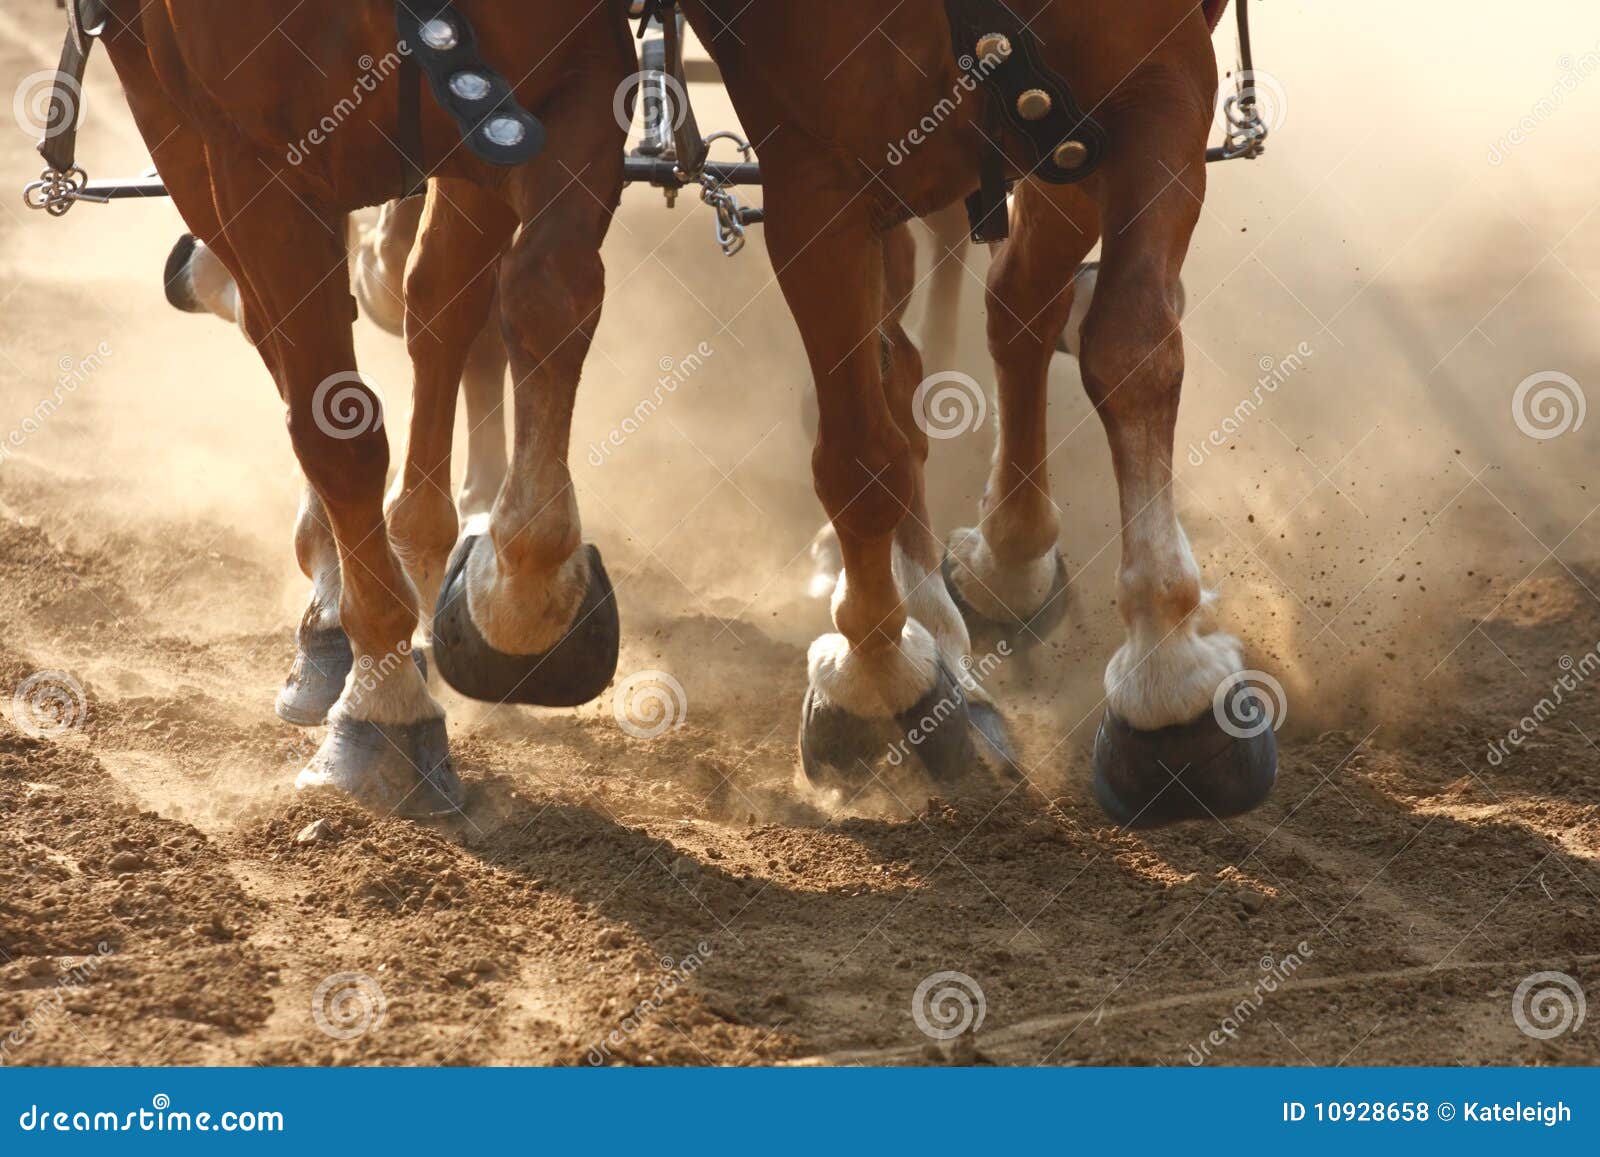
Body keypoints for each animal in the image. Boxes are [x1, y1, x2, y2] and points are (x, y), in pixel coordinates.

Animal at [93, 0, 1274, 827]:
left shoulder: (1149, 81)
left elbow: (1130, 349)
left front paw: (1168, 680)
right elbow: (337, 412)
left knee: (1010, 306)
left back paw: (998, 572)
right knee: (388, 315)